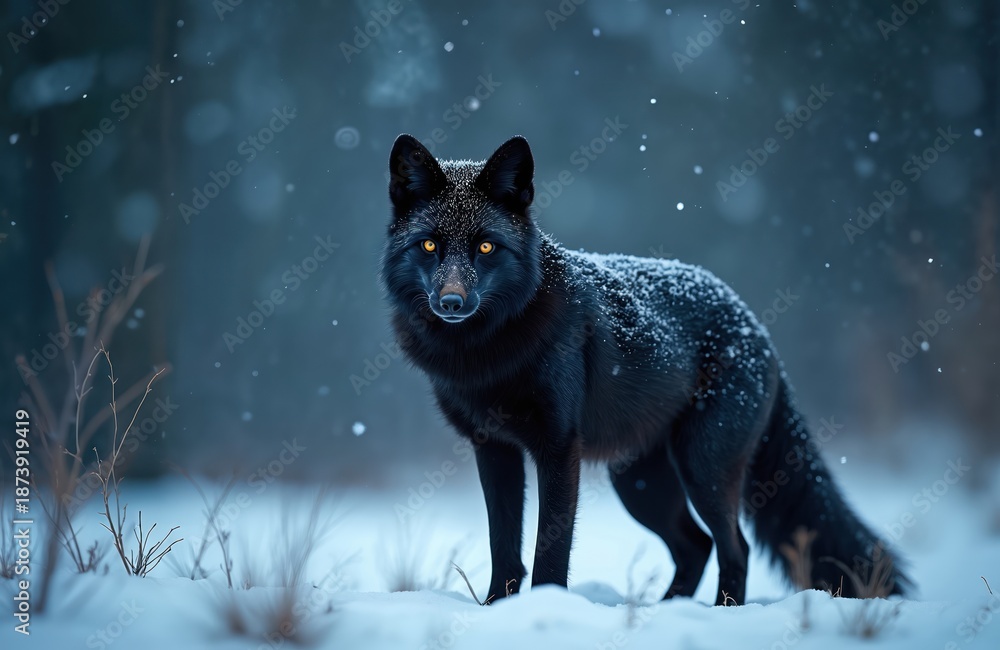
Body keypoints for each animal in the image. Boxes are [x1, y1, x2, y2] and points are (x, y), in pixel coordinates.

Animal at [380, 134, 910, 606]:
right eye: (429, 246)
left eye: (486, 248)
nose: (452, 302)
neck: (487, 354)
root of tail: (757, 326)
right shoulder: (494, 449)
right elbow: (503, 545)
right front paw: (497, 609)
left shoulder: (558, 448)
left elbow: (550, 549)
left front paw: (544, 609)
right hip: (640, 484)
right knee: (697, 546)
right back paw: (668, 610)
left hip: (700, 470)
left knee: (734, 547)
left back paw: (718, 614)